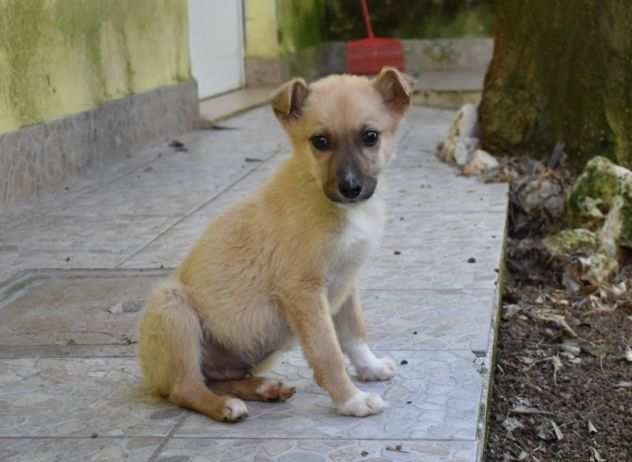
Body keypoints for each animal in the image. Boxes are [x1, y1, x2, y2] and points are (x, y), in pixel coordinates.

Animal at [138, 66, 412, 422]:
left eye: (370, 136)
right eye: (320, 141)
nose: (350, 188)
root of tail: (150, 376)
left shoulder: (347, 280)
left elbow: (354, 332)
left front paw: (370, 367)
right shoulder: (303, 291)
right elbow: (328, 352)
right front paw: (351, 400)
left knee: (219, 378)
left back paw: (262, 388)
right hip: (173, 308)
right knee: (186, 388)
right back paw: (225, 406)